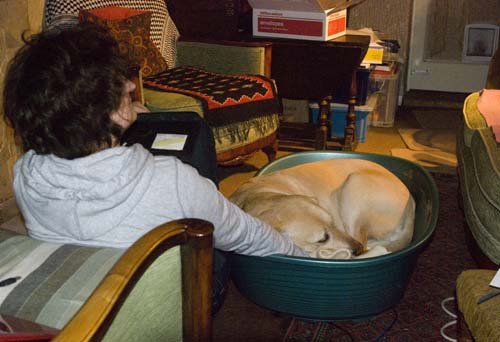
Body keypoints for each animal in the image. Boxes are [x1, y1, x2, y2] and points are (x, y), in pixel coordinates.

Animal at [230, 160, 414, 260]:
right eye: (322, 239)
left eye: (332, 222)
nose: (357, 249)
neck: (259, 196)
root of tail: (412, 203)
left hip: (353, 186)